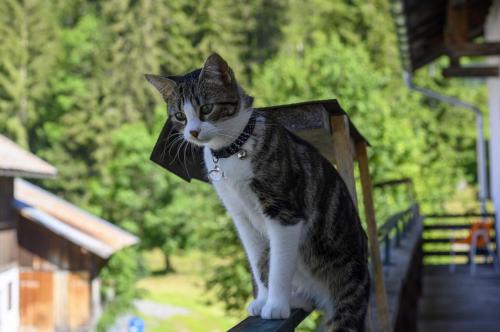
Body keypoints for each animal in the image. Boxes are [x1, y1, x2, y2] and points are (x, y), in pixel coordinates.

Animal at [146, 53, 370, 330]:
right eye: (179, 115)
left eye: (206, 108)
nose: (193, 132)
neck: (231, 151)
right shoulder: (240, 216)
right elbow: (259, 260)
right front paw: (262, 300)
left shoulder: (284, 211)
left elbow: (278, 264)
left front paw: (275, 305)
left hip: (347, 288)